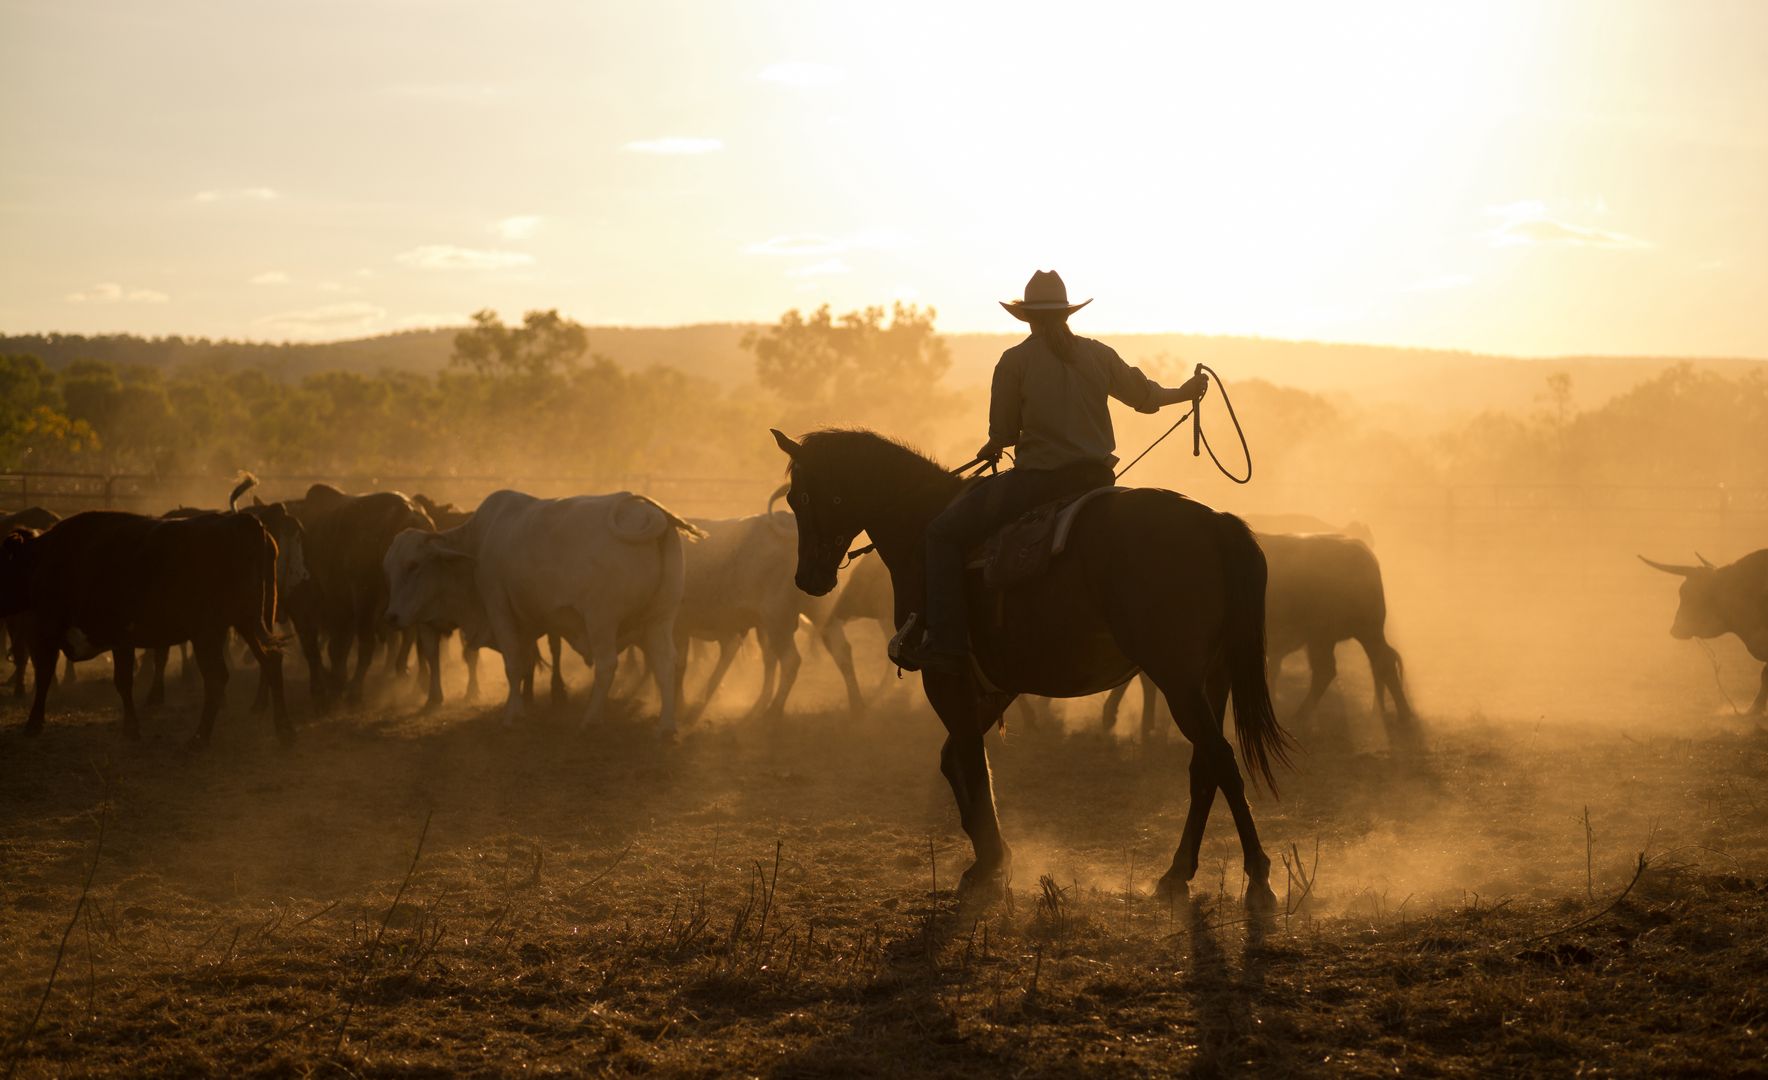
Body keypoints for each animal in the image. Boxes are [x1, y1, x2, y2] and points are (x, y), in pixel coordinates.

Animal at [0, 505, 286, 742]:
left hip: (209, 633)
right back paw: (284, 731)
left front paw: (34, 723)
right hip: (248, 623)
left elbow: (54, 675)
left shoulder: (55, 633)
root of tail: (242, 522)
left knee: (217, 678)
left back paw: (200, 738)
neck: (45, 560)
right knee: (270, 661)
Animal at [383, 491, 700, 731]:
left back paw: (590, 719)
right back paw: (666, 725)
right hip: (660, 619)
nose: (392, 617)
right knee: (666, 663)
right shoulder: (526, 623)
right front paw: (523, 705)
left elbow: (513, 666)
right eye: (388, 567)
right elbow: (525, 665)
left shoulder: (500, 612)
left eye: (414, 565)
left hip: (602, 620)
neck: (477, 546)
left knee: (607, 665)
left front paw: (512, 715)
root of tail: (649, 513)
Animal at [767, 431, 1294, 912]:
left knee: (1221, 759)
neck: (921, 525)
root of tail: (1215, 523)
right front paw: (993, 856)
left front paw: (990, 863)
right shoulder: (997, 684)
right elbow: (954, 759)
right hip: (1209, 677)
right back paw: (1175, 875)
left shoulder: (945, 676)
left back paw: (1259, 878)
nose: (808, 578)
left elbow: (970, 760)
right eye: (793, 499)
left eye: (807, 497)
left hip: (1178, 678)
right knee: (1205, 765)